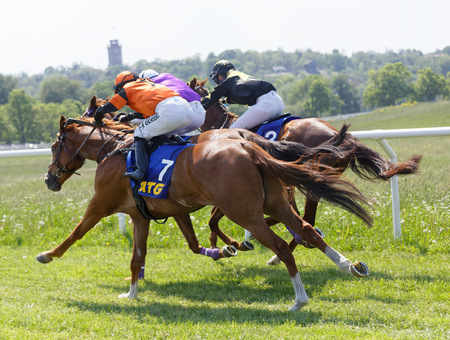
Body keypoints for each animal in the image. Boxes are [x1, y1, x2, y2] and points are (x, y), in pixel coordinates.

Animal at [37, 115, 372, 310]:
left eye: (54, 145)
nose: (49, 178)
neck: (114, 149)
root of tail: (247, 146)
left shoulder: (100, 204)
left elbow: (76, 232)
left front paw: (47, 255)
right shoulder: (146, 214)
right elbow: (142, 255)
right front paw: (131, 294)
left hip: (244, 211)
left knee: (280, 244)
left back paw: (299, 299)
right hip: (274, 202)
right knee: (307, 230)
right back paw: (349, 266)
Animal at [186, 77, 422, 262]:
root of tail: (342, 139)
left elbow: (213, 219)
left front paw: (230, 244)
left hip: (312, 181)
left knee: (307, 219)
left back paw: (278, 253)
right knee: (305, 218)